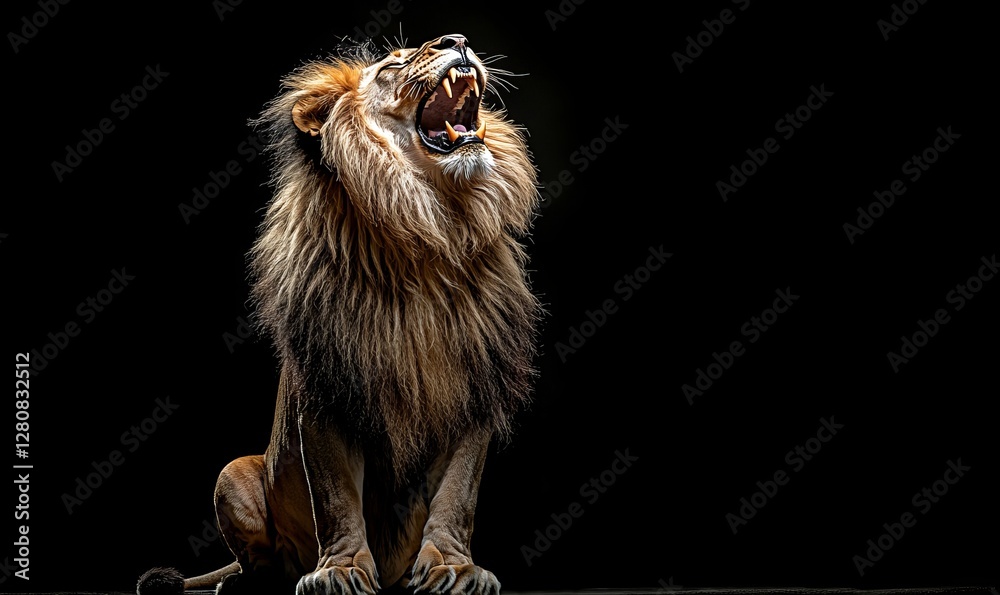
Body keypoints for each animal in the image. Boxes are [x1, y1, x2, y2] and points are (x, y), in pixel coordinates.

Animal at [137, 33, 540, 595]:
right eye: (392, 64)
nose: (456, 40)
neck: (428, 233)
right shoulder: (327, 389)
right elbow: (336, 497)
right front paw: (341, 570)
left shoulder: (475, 385)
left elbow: (458, 494)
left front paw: (454, 567)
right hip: (232, 473)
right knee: (260, 559)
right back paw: (248, 582)